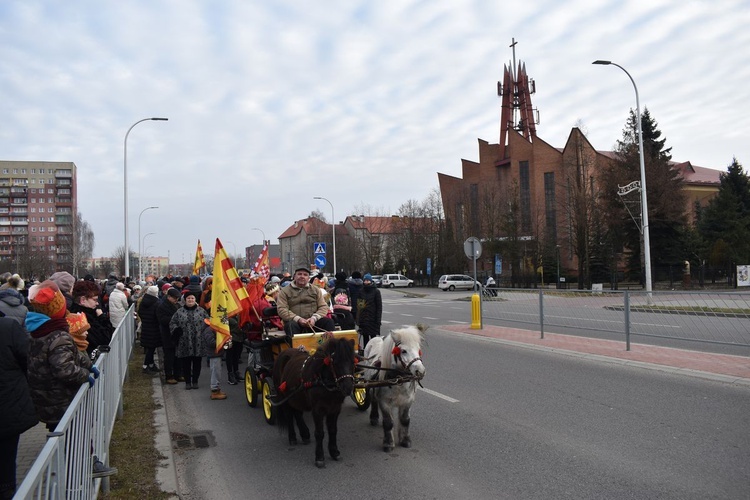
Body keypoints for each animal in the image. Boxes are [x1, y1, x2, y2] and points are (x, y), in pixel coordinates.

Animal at [272, 336, 356, 468]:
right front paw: (319, 457)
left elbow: (333, 430)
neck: (323, 381)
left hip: (297, 397)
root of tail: (284, 352)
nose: (347, 388)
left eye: (353, 362)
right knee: (289, 415)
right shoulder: (318, 410)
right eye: (335, 363)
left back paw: (305, 434)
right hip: (283, 396)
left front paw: (334, 452)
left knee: (297, 413)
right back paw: (292, 437)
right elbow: (319, 433)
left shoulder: (335, 408)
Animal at [366, 324, 428, 454]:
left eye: (418, 349)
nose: (420, 371)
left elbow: (405, 420)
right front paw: (388, 443)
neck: (397, 378)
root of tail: (376, 337)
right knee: (374, 400)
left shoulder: (407, 401)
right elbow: (388, 422)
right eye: (403, 351)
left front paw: (405, 440)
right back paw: (374, 417)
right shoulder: (384, 402)